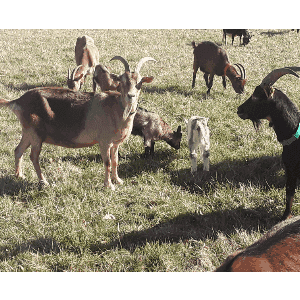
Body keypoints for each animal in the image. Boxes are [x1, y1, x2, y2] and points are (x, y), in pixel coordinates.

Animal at [0, 55, 155, 190]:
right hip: (36, 134)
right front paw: (109, 185)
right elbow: (107, 163)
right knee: (33, 156)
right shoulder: (104, 142)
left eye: (140, 83)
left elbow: (115, 161)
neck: (117, 110)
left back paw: (19, 175)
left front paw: (118, 180)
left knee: (18, 150)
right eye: (122, 81)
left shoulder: (115, 143)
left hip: (28, 131)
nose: (131, 96)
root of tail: (18, 101)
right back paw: (44, 182)